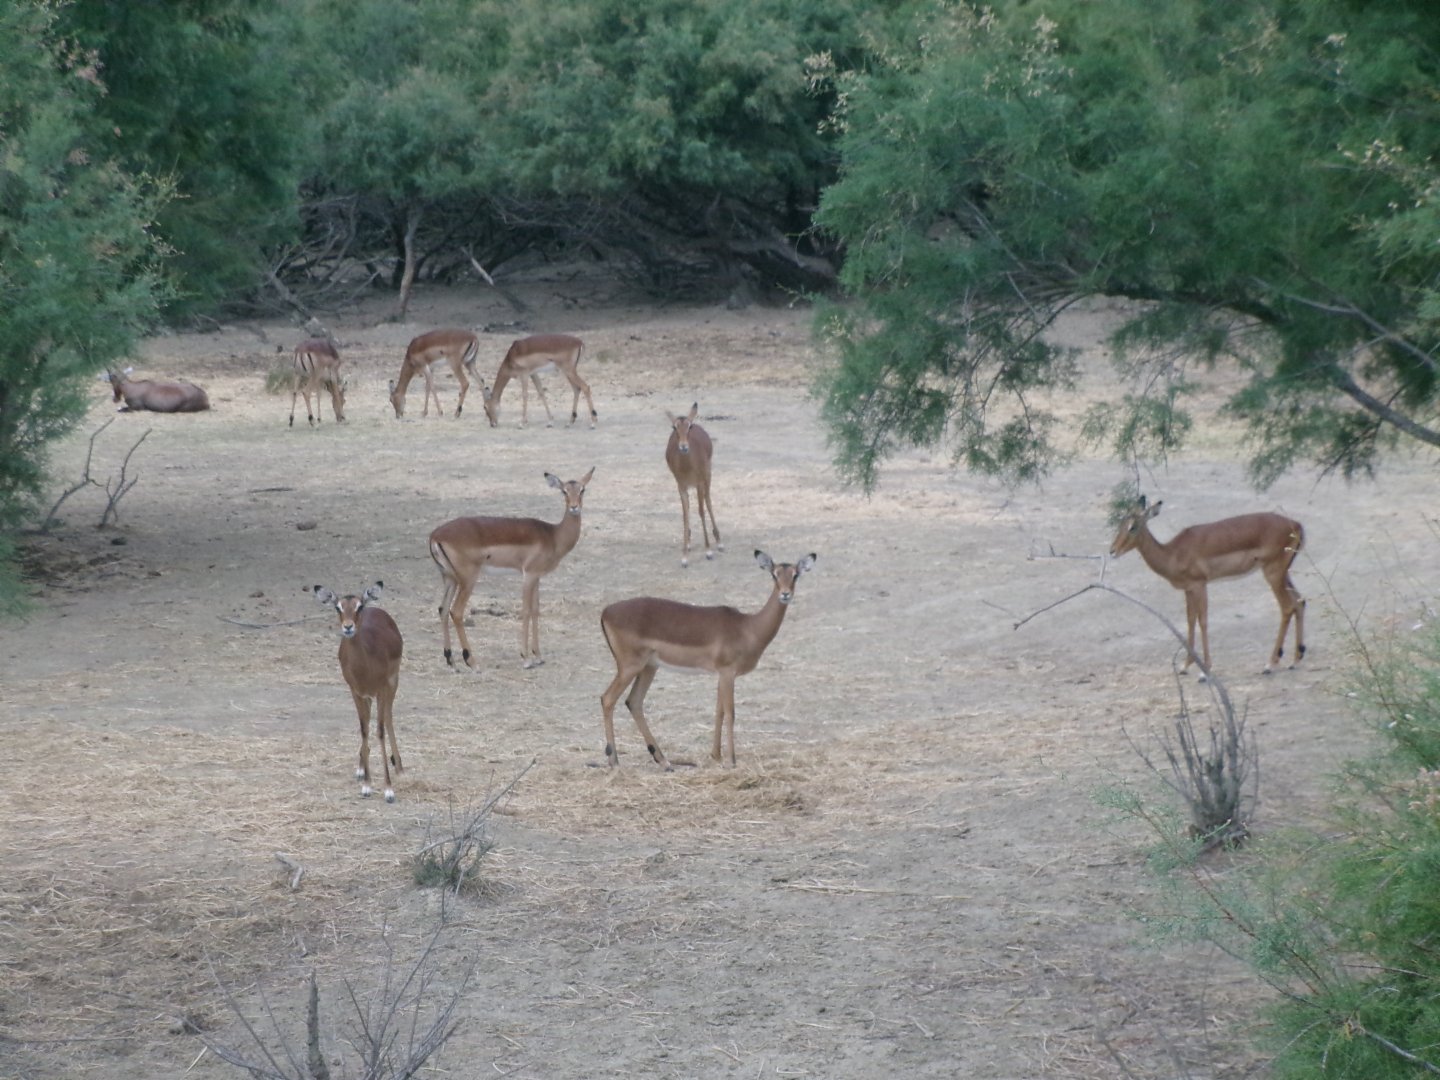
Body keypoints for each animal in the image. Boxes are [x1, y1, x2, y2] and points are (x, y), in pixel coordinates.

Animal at [311, 582, 404, 802]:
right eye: (338, 607)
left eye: (359, 606)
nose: (348, 627)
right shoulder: (356, 692)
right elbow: (364, 730)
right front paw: (367, 785)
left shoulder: (382, 689)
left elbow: (379, 731)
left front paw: (388, 790)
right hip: (367, 696)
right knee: (368, 725)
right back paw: (362, 770)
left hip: (392, 684)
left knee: (388, 718)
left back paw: (399, 767)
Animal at [429, 468, 595, 670]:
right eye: (564, 491)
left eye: (582, 489)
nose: (574, 507)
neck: (553, 535)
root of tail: (436, 535)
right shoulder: (528, 575)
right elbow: (525, 611)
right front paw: (526, 658)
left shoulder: (537, 577)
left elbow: (535, 610)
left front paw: (538, 656)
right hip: (468, 580)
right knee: (456, 612)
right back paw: (472, 661)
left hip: (449, 579)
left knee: (443, 609)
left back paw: (450, 660)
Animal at [600, 550, 816, 769]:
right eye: (774, 574)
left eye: (795, 574)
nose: (785, 594)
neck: (748, 627)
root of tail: (606, 612)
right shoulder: (728, 673)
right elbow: (730, 713)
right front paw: (731, 760)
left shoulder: (722, 674)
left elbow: (718, 711)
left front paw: (717, 756)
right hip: (630, 667)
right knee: (607, 699)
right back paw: (614, 760)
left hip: (649, 667)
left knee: (634, 702)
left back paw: (663, 760)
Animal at [665, 403, 723, 567]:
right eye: (674, 427)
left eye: (689, 426)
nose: (683, 447)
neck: (687, 466)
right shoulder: (681, 486)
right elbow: (685, 514)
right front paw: (684, 556)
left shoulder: (699, 483)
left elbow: (701, 511)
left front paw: (708, 551)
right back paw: (690, 543)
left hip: (708, 476)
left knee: (708, 502)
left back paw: (719, 542)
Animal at [1109, 495, 1306, 676]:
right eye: (1121, 523)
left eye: (1133, 527)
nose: (1112, 551)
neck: (1172, 553)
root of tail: (1296, 525)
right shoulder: (1188, 589)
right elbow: (1190, 620)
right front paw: (1185, 666)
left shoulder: (1200, 585)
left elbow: (1202, 621)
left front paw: (1205, 670)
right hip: (1283, 574)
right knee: (1300, 601)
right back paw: (1295, 660)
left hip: (1273, 574)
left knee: (1287, 607)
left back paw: (1270, 664)